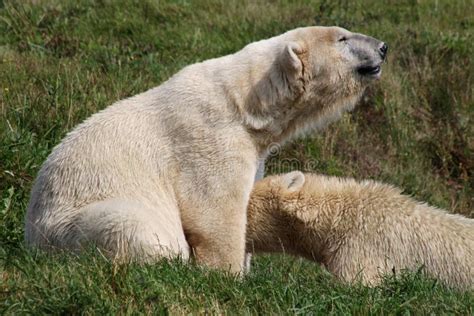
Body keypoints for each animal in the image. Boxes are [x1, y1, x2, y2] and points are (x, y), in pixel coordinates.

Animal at [25, 25, 386, 272]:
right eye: (342, 39)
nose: (383, 47)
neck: (247, 103)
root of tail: (33, 240)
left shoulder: (253, 148)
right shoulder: (211, 138)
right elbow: (215, 211)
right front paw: (228, 273)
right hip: (72, 223)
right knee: (139, 228)